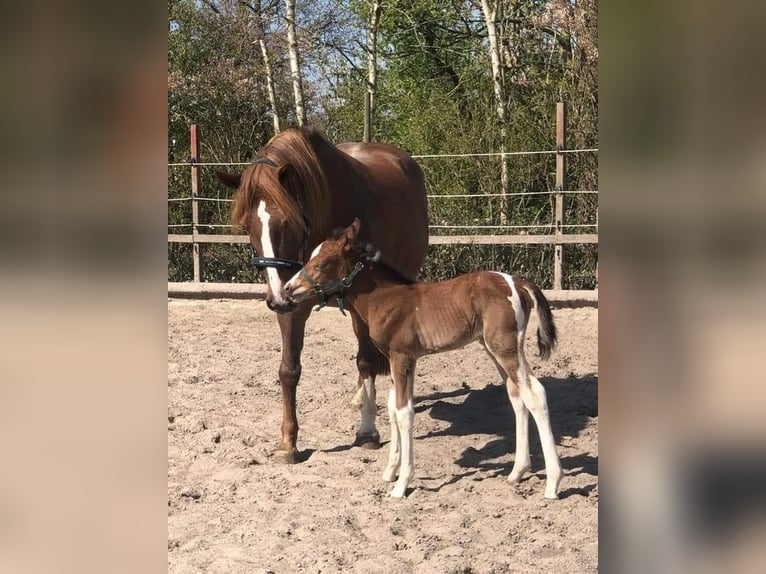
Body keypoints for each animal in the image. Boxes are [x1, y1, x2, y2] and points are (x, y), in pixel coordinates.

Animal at [218, 128, 432, 466]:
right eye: (245, 226)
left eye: (288, 222)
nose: (276, 298)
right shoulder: (292, 305)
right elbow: (288, 370)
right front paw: (287, 443)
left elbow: (366, 361)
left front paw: (368, 432)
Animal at [282, 220, 564, 500]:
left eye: (321, 264)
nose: (288, 289)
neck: (386, 299)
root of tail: (517, 282)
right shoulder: (400, 360)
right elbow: (393, 408)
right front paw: (390, 471)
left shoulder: (402, 356)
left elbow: (404, 412)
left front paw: (401, 484)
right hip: (493, 349)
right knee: (517, 396)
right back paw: (517, 472)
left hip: (504, 347)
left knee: (535, 393)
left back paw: (553, 483)